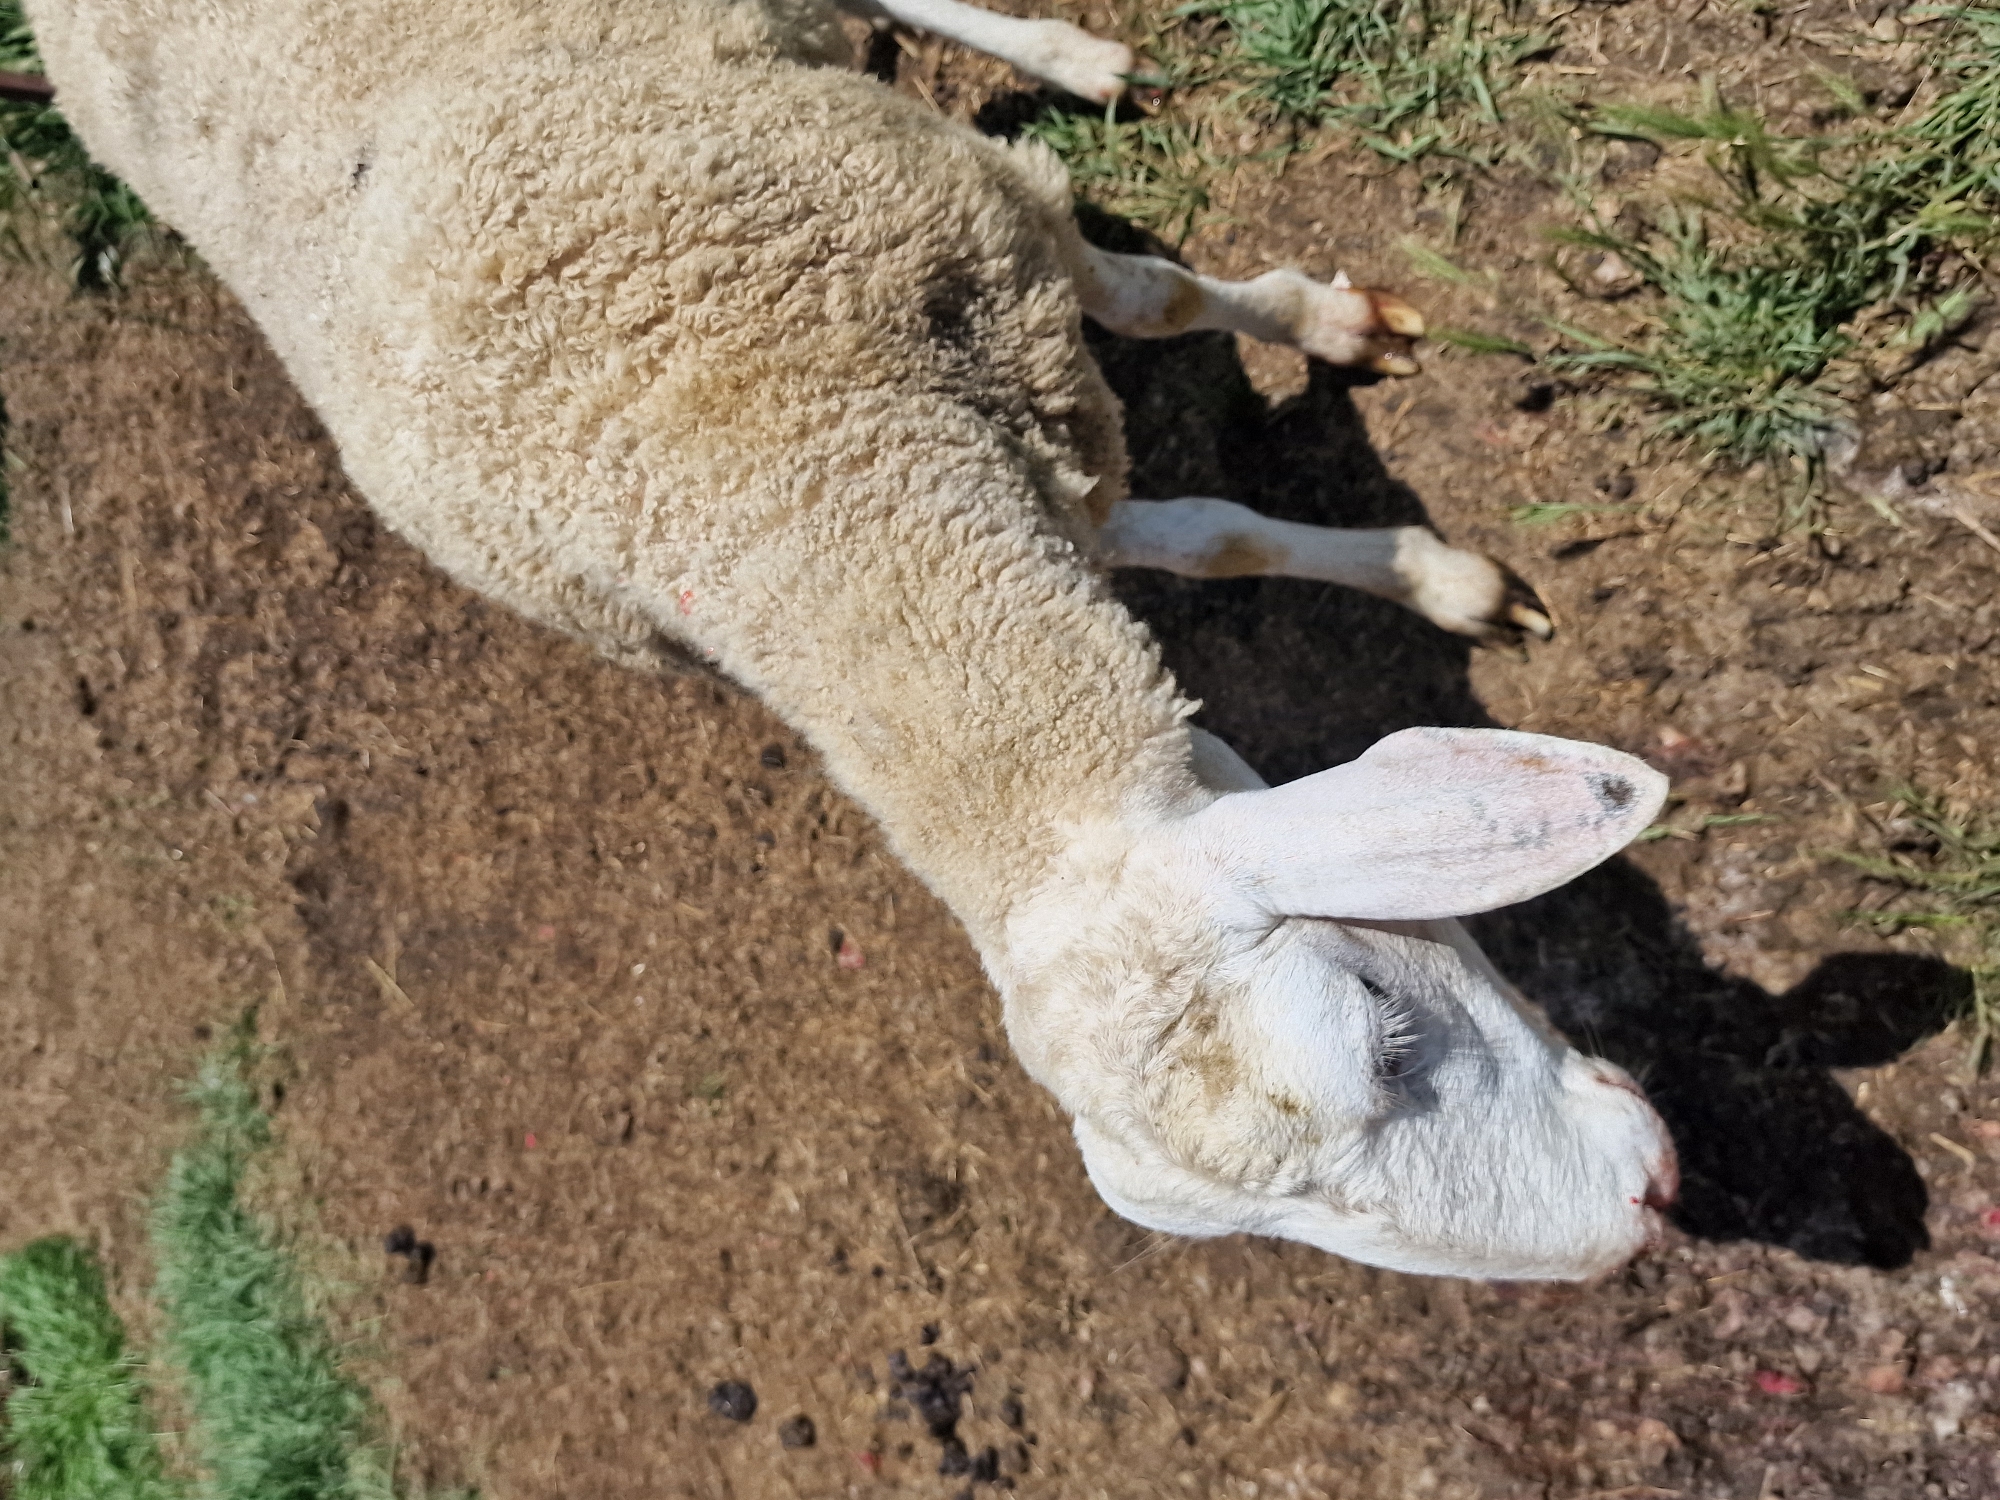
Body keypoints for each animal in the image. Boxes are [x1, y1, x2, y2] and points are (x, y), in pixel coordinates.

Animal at [26, 0, 1678, 1280]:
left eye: (1389, 1027)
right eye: (1279, 1229)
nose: (1645, 1219)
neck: (752, 445)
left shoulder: (995, 245)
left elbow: (1161, 304)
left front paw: (1342, 366)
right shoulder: (1016, 459)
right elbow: (1198, 535)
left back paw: (1073, 57)